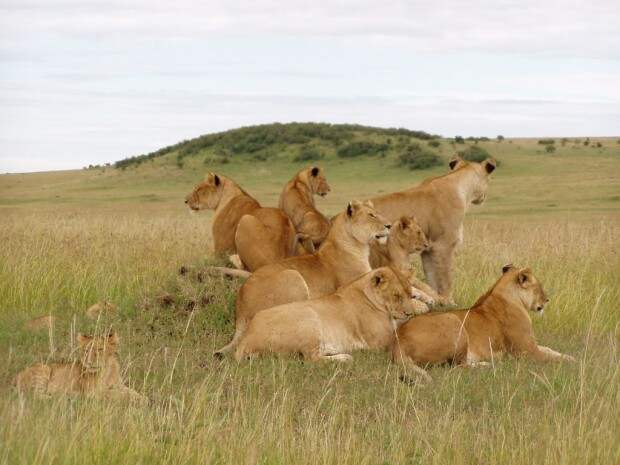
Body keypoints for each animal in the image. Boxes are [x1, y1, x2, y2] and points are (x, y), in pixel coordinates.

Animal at [15, 332, 146, 400]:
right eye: (86, 350)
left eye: (100, 349)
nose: (88, 361)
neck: (107, 371)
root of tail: (17, 375)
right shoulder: (94, 392)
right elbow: (114, 394)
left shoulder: (119, 385)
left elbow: (131, 391)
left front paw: (143, 399)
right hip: (43, 370)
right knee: (35, 395)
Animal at [235, 266, 428, 360]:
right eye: (396, 295)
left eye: (409, 294)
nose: (408, 313)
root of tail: (247, 336)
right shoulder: (380, 341)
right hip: (309, 316)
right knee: (311, 359)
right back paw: (344, 357)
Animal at [368, 154, 498, 302]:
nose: (483, 197)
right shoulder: (443, 245)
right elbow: (446, 279)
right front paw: (449, 301)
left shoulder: (428, 249)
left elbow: (432, 280)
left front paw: (437, 300)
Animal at [392, 262, 576, 382]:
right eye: (539, 286)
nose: (547, 300)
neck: (511, 297)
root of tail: (398, 342)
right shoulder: (528, 352)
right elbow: (551, 357)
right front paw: (573, 361)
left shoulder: (532, 346)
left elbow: (551, 350)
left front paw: (568, 355)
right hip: (453, 321)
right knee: (457, 366)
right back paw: (490, 364)